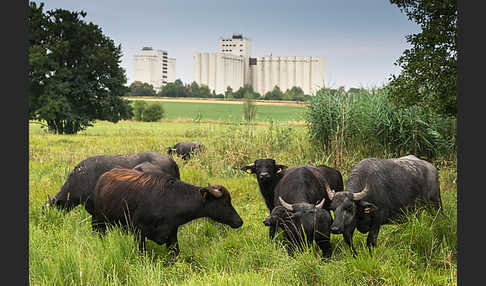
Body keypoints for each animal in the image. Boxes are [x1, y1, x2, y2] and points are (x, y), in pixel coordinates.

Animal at [91, 168, 243, 255]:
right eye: (224, 203)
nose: (239, 221)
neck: (169, 201)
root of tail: (102, 178)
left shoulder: (171, 235)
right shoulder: (139, 233)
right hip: (99, 222)